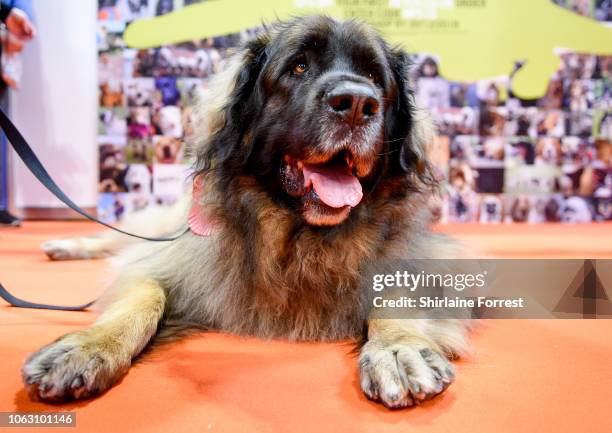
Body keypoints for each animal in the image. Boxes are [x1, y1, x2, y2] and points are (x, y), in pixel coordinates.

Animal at [26, 16, 470, 408]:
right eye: (299, 66)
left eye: (376, 78)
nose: (359, 102)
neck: (300, 236)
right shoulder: (172, 260)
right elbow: (142, 296)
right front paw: (87, 347)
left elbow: (399, 292)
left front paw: (398, 350)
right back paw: (66, 245)